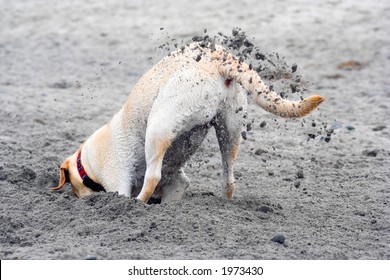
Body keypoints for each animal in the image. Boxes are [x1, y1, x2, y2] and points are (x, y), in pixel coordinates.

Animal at [52, 42, 326, 202]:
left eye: (74, 188)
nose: (80, 199)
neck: (86, 164)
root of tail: (218, 59)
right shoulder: (176, 182)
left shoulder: (117, 180)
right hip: (230, 129)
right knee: (229, 178)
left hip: (159, 126)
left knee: (152, 177)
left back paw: (138, 204)